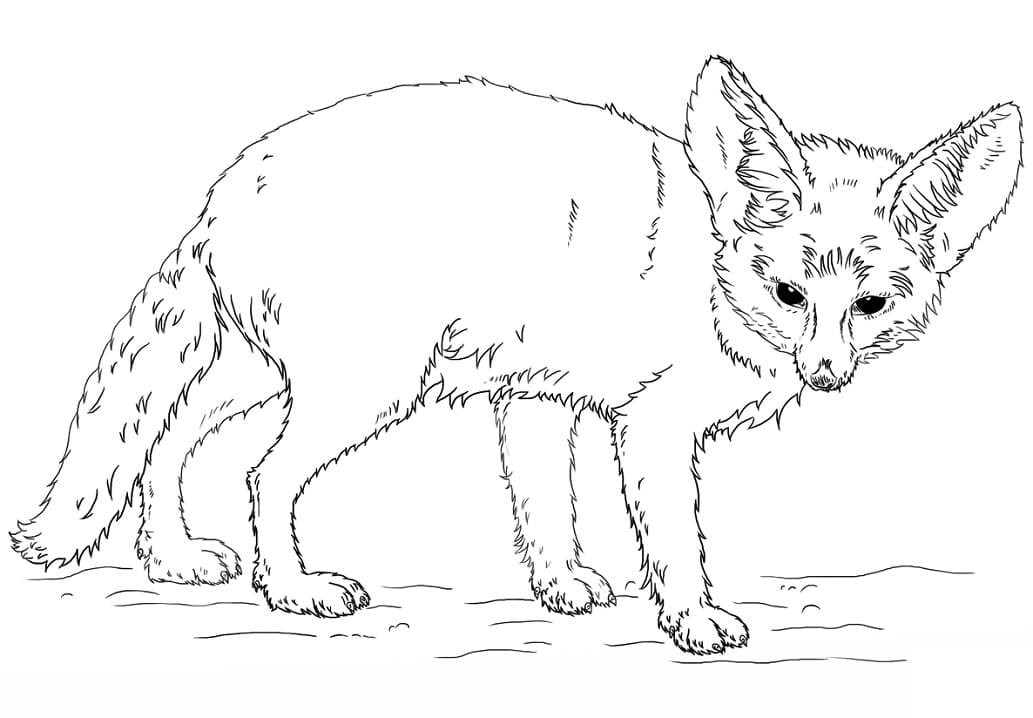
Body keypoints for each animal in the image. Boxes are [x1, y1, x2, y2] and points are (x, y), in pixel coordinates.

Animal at [10, 56, 1022, 655]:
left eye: (869, 305)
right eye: (787, 295)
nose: (825, 374)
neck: (704, 276)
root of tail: (228, 186)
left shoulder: (538, 396)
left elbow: (543, 507)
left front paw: (561, 587)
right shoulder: (648, 428)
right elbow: (674, 541)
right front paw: (692, 620)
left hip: (264, 377)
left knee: (167, 437)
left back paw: (174, 558)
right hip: (360, 393)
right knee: (261, 474)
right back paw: (293, 590)